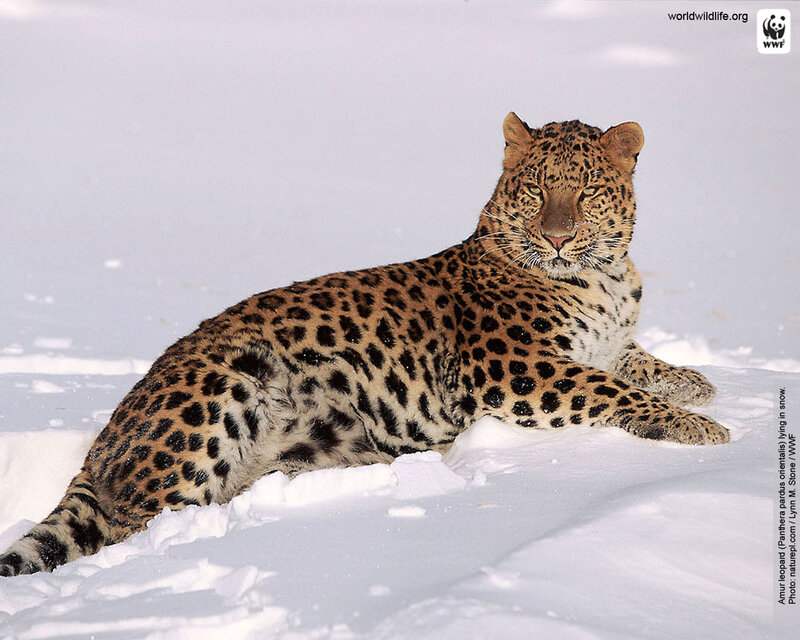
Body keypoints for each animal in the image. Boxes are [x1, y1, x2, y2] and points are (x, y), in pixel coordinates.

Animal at [0, 113, 728, 577]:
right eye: (536, 189)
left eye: (586, 190)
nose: (555, 236)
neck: (606, 277)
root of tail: (103, 441)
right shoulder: (513, 367)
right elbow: (607, 388)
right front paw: (702, 428)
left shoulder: (601, 343)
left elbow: (632, 362)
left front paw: (697, 384)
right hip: (221, 387)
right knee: (134, 528)